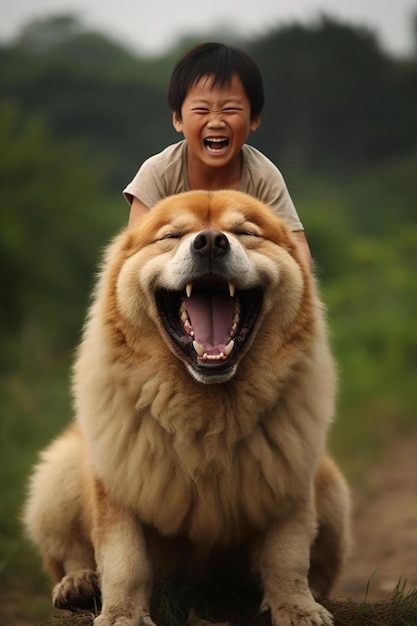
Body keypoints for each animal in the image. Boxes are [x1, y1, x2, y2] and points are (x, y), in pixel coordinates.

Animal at [24, 190, 350, 624]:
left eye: (245, 232)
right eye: (172, 236)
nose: (211, 242)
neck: (206, 410)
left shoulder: (290, 479)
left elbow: (289, 555)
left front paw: (298, 608)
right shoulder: (116, 481)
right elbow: (124, 560)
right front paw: (122, 614)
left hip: (332, 489)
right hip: (56, 476)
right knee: (68, 553)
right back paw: (79, 583)